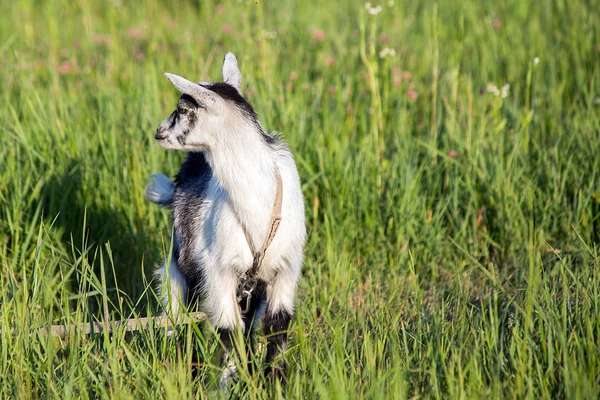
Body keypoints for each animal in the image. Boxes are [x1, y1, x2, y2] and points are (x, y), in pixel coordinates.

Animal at [145, 51, 304, 386]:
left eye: (183, 109)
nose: (159, 132)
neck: (258, 211)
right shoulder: (219, 271)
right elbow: (228, 333)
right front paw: (227, 385)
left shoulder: (285, 270)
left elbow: (277, 328)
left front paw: (275, 383)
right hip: (179, 264)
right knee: (180, 317)